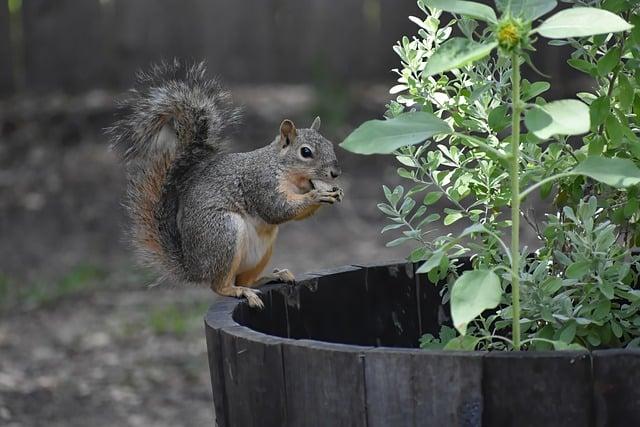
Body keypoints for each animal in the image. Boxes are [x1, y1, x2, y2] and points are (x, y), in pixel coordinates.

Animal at [107, 61, 342, 308]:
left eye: (329, 144)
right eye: (306, 152)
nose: (336, 173)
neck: (284, 170)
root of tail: (194, 268)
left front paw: (332, 192)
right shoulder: (261, 182)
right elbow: (276, 209)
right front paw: (316, 196)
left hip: (262, 249)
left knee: (245, 279)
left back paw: (271, 277)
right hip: (223, 233)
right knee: (220, 286)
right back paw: (239, 291)